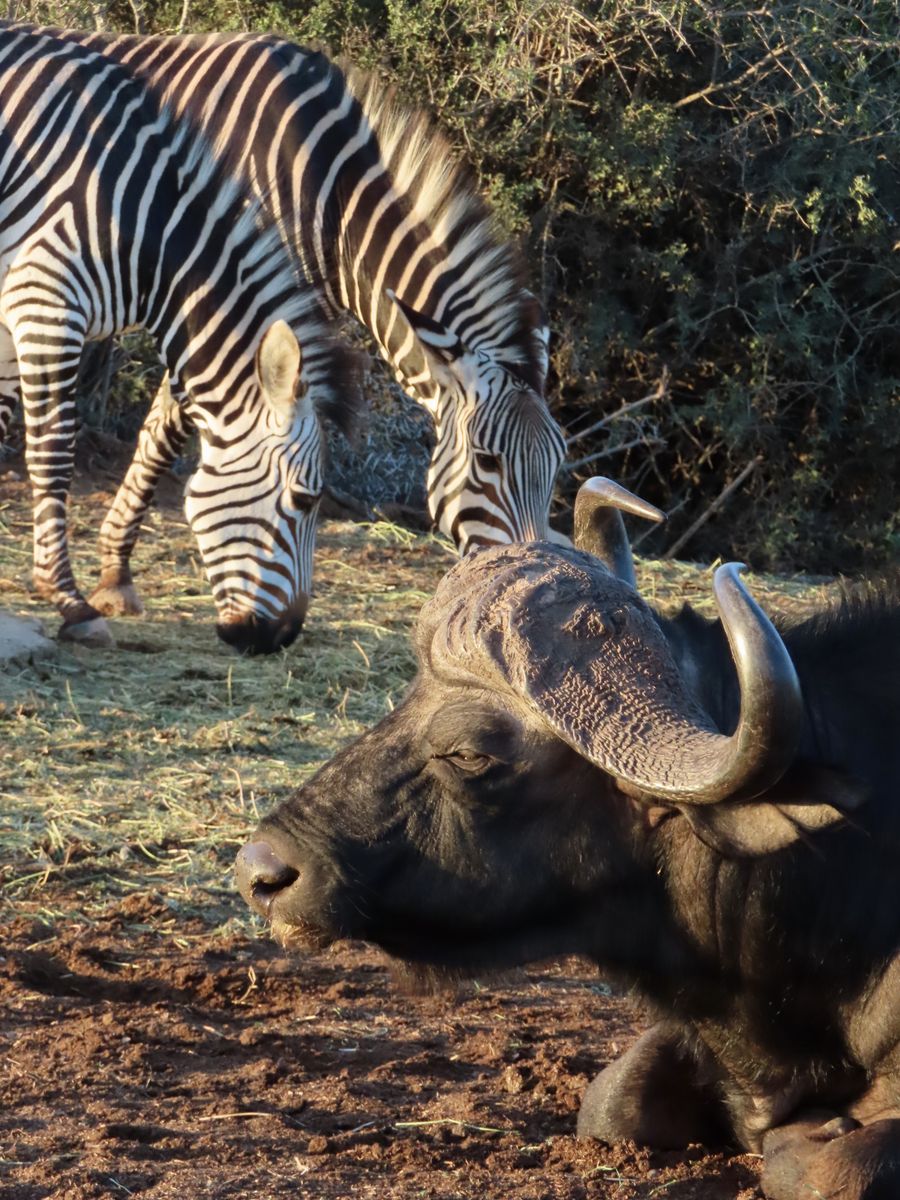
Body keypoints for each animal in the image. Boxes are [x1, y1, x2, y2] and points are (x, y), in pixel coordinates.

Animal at [0, 24, 356, 653]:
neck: (146, 227)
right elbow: (53, 450)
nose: (281, 638)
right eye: (305, 500)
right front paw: (70, 602)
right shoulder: (44, 300)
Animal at [42, 29, 566, 607]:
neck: (327, 196)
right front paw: (116, 574)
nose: (532, 577)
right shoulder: (216, 300)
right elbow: (165, 432)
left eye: (556, 467)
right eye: (487, 462)